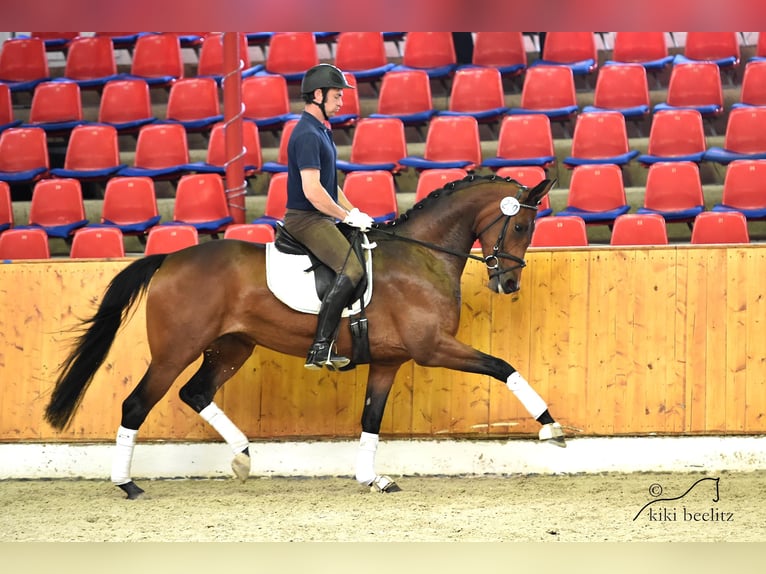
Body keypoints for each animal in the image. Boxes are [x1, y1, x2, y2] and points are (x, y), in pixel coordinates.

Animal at [45, 174, 568, 500]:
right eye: (522, 224)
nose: (508, 283)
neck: (421, 256)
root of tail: (169, 258)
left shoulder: (389, 361)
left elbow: (371, 420)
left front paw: (371, 478)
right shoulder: (432, 348)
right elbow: (504, 368)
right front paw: (551, 427)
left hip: (232, 347)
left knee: (195, 392)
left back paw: (242, 457)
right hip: (176, 350)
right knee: (136, 404)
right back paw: (127, 484)